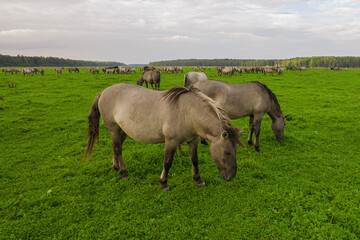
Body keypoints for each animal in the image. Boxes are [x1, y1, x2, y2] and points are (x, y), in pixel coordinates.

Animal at [83, 83, 245, 190]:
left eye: (235, 150)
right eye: (227, 152)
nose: (231, 176)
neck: (187, 112)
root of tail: (104, 91)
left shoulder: (193, 141)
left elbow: (194, 160)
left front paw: (198, 180)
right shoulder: (171, 142)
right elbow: (167, 162)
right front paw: (164, 183)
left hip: (122, 130)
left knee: (116, 148)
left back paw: (115, 167)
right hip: (114, 129)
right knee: (118, 149)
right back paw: (124, 173)